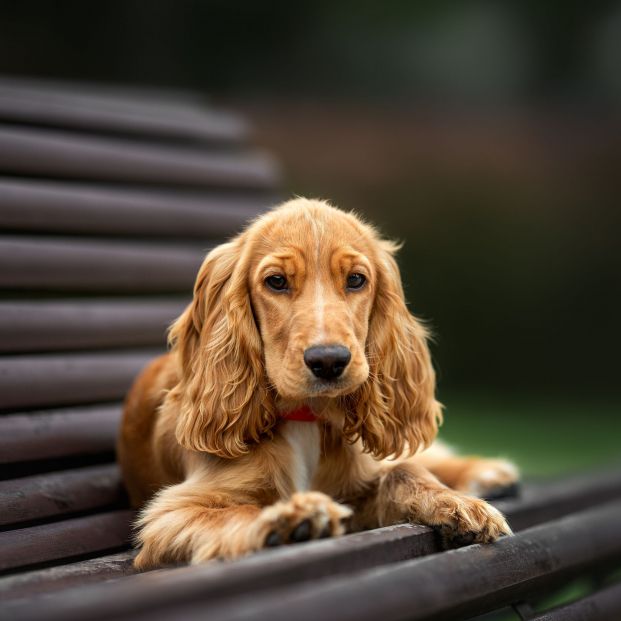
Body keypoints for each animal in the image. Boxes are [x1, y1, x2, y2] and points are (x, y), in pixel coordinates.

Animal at [117, 197, 520, 568]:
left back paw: (484, 472)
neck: (305, 417)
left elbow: (403, 470)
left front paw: (458, 503)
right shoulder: (172, 513)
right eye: (276, 281)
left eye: (355, 279)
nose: (329, 361)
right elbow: (233, 512)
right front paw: (288, 520)